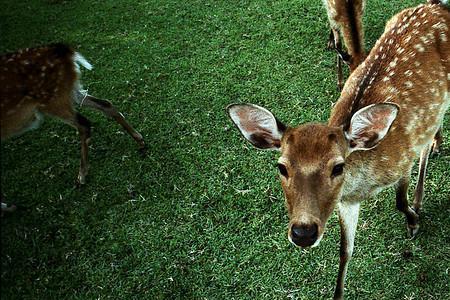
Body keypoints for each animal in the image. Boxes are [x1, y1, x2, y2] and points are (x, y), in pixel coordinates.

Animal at [0, 44, 145, 213]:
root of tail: (66, 51)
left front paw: (8, 207)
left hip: (53, 100)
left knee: (84, 124)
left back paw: (81, 177)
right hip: (70, 92)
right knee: (105, 104)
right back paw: (140, 140)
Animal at [229, 1, 450, 298]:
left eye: (338, 167)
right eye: (281, 167)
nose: (303, 233)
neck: (365, 184)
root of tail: (434, 6)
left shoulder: (404, 159)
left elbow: (399, 201)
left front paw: (413, 222)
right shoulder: (346, 202)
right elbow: (345, 251)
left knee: (429, 139)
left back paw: (430, 165)